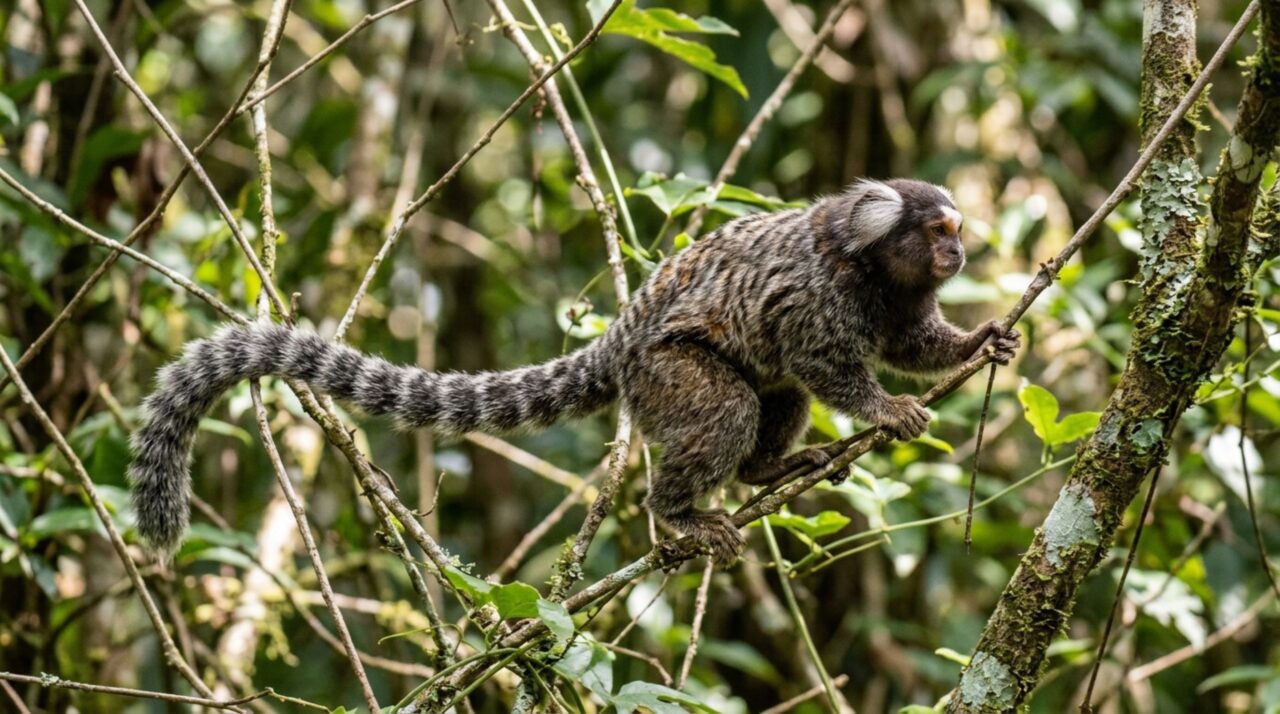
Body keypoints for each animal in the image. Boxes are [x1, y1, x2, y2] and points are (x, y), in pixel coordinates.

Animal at [127, 178, 1019, 564]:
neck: (869, 266)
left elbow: (912, 346)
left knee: (772, 399)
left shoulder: (899, 301)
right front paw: (886, 411)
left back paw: (771, 466)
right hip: (665, 371)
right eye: (937, 231)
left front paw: (980, 342)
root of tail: (618, 340)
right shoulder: (819, 292)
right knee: (725, 408)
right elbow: (819, 360)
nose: (960, 253)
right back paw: (681, 515)